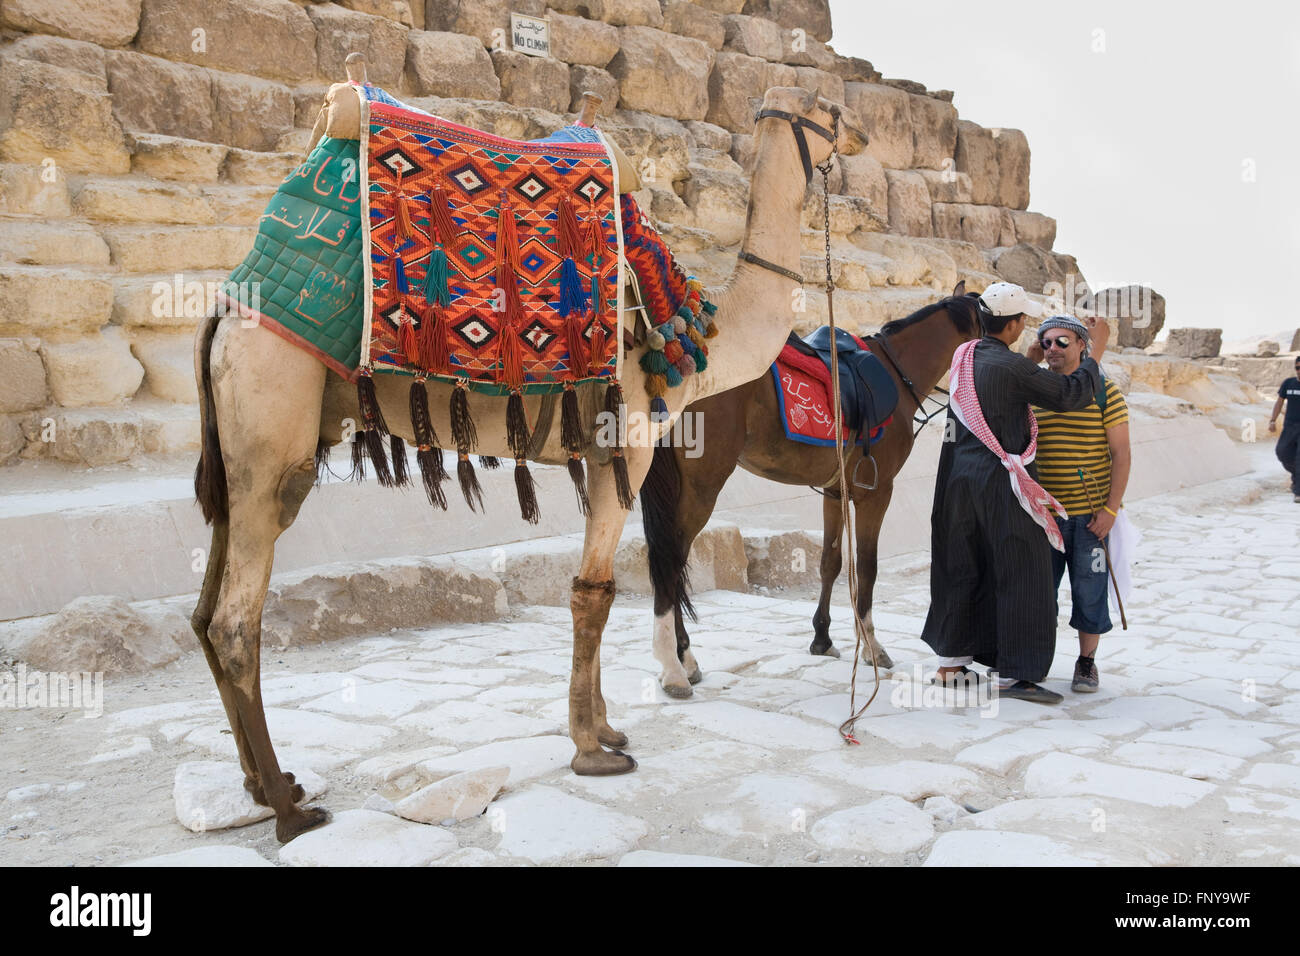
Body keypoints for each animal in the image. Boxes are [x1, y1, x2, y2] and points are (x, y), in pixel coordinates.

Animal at [189, 85, 863, 842]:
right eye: (830, 113)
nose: (862, 135)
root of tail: (223, 312)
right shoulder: (626, 445)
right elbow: (591, 595)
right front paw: (593, 750)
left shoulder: (601, 456)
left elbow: (603, 590)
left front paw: (610, 730)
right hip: (272, 431)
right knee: (235, 619)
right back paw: (288, 808)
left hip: (238, 458)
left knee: (204, 609)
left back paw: (261, 785)